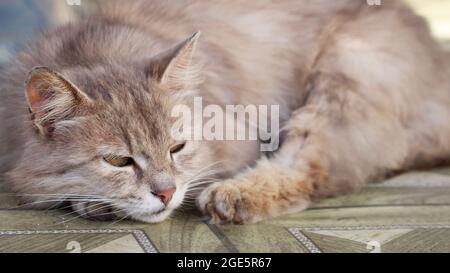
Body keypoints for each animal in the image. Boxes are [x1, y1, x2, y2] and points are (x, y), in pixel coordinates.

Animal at [0, 0, 450, 223]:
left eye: (177, 148)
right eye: (118, 161)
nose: (165, 193)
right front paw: (91, 201)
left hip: (349, 70)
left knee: (315, 166)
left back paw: (235, 196)